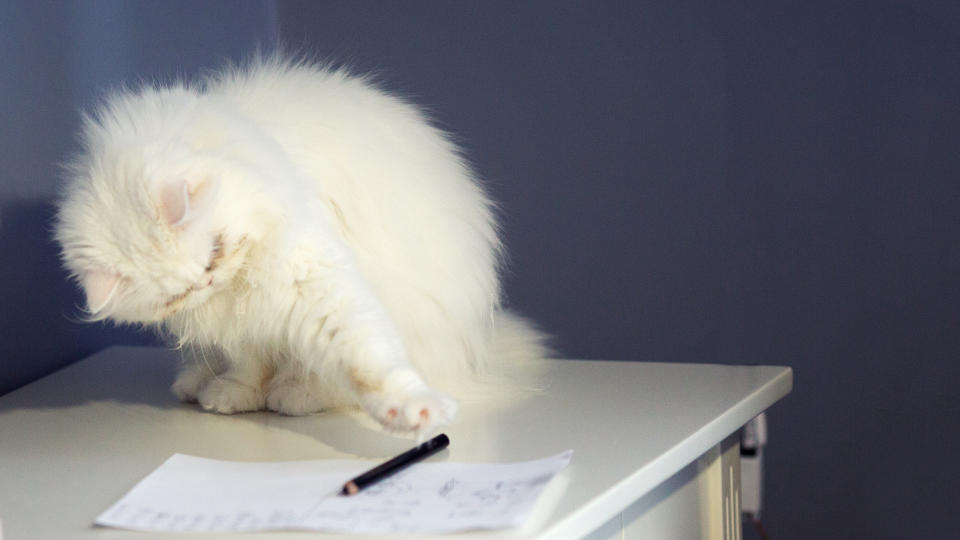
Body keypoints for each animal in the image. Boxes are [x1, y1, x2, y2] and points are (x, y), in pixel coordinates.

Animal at [54, 54, 548, 434]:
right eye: (181, 294)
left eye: (215, 252)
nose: (208, 281)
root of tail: (480, 351)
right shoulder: (238, 321)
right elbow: (247, 364)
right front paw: (233, 395)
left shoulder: (309, 283)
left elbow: (372, 363)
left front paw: (413, 410)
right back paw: (197, 383)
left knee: (333, 385)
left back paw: (292, 396)